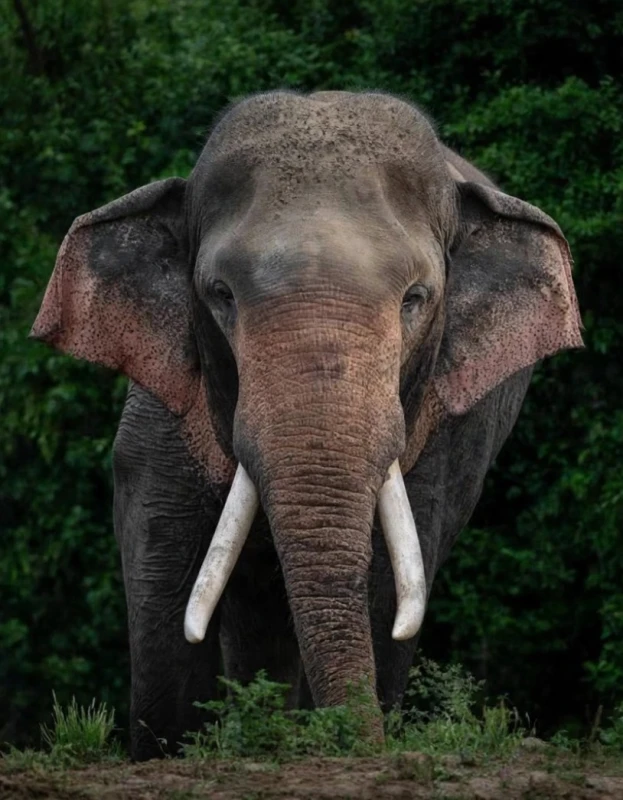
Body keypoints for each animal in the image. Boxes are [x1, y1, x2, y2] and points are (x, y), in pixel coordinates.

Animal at [31, 90, 583, 761]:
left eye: (415, 298)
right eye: (221, 294)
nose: (362, 745)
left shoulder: (453, 427)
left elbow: (393, 573)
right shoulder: (163, 415)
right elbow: (161, 560)